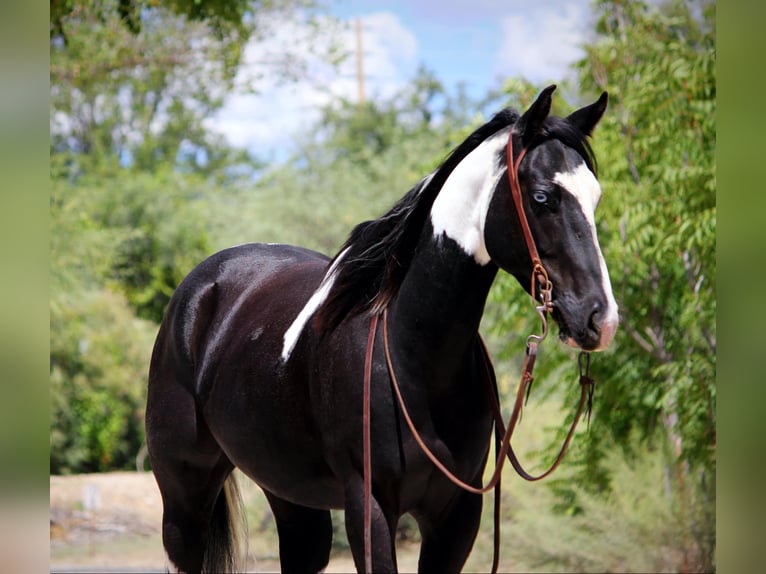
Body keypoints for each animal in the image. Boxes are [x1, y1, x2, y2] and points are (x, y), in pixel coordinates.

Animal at [147, 85, 620, 574]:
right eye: (543, 197)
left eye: (596, 197)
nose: (599, 318)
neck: (413, 356)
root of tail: (202, 285)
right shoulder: (368, 507)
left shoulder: (456, 517)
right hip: (184, 495)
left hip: (291, 496)